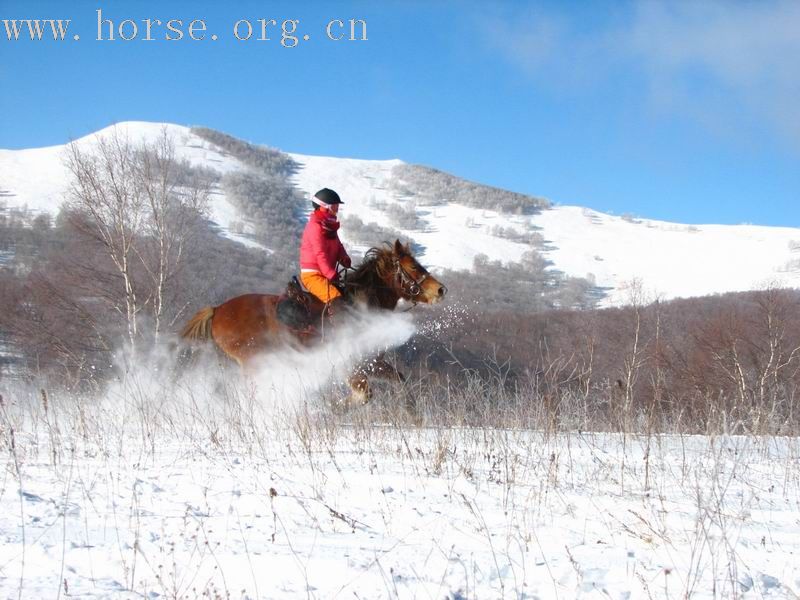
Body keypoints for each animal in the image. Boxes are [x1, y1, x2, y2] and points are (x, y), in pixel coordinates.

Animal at [180, 241, 450, 406]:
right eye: (413, 266)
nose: (440, 290)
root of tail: (218, 310)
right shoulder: (351, 366)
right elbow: (363, 394)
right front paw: (331, 408)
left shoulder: (372, 362)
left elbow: (398, 380)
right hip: (254, 361)